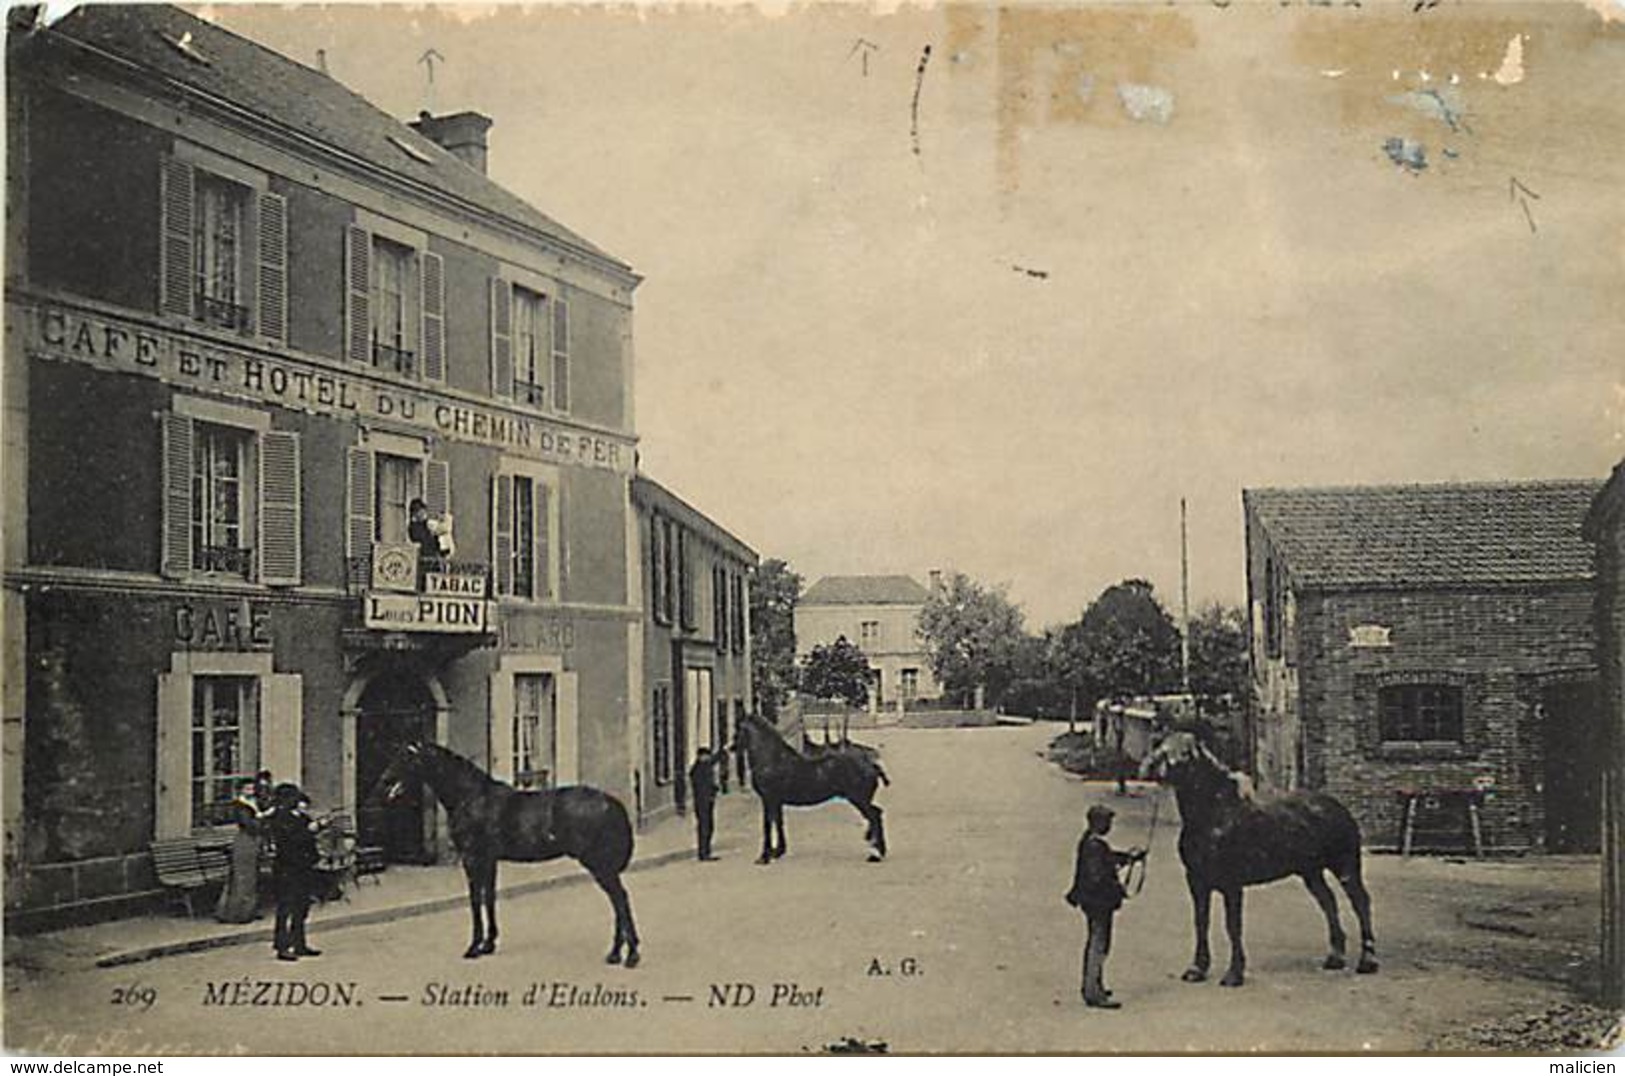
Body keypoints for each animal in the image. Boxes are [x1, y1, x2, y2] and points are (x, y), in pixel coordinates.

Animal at [377, 741, 637, 968]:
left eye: (407, 758)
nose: (384, 780)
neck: (471, 797)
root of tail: (612, 803)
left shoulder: (472, 859)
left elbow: (475, 900)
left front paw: (474, 947)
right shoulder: (489, 860)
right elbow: (489, 898)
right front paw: (488, 944)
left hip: (599, 865)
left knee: (620, 899)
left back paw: (630, 955)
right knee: (617, 901)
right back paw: (616, 954)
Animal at [737, 715, 890, 871]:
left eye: (739, 728)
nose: (731, 747)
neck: (772, 760)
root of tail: (872, 765)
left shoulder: (768, 799)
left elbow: (767, 825)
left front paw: (764, 857)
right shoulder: (776, 801)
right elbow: (778, 822)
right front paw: (778, 852)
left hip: (859, 800)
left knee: (874, 816)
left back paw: (875, 855)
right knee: (877, 814)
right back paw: (879, 851)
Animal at [1137, 728, 1378, 988]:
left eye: (1185, 752)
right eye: (1160, 746)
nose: (1152, 767)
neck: (1211, 815)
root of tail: (1339, 807)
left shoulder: (1231, 884)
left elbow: (1233, 926)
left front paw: (1234, 974)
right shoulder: (1196, 881)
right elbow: (1201, 922)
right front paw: (1197, 969)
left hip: (1346, 868)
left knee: (1361, 904)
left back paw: (1368, 962)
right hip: (1311, 873)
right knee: (1329, 903)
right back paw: (1335, 958)